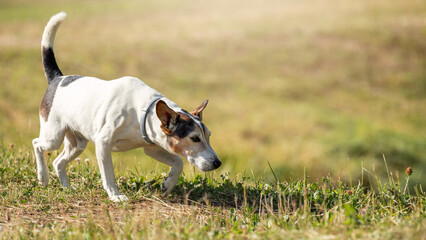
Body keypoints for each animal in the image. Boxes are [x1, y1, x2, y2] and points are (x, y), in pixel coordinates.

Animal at [31, 12, 221, 202]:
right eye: (195, 138)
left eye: (209, 136)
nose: (217, 163)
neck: (142, 112)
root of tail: (58, 78)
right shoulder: (103, 143)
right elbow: (108, 174)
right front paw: (115, 195)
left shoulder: (152, 148)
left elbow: (179, 162)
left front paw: (168, 185)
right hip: (53, 136)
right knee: (37, 144)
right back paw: (43, 177)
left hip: (77, 143)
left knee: (58, 162)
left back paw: (66, 187)